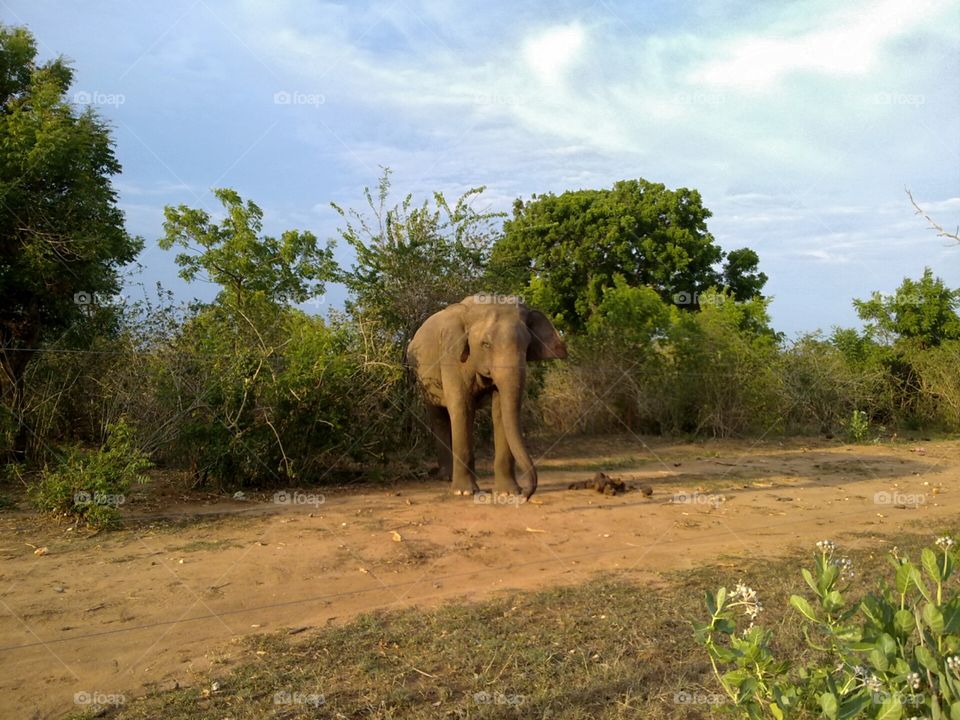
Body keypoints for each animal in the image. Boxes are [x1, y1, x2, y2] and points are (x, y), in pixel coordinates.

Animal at [404, 292, 564, 500]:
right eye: (485, 344)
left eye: (527, 345)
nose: (526, 494)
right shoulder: (451, 357)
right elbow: (461, 407)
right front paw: (463, 492)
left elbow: (499, 412)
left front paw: (507, 492)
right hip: (422, 376)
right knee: (439, 416)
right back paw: (448, 478)